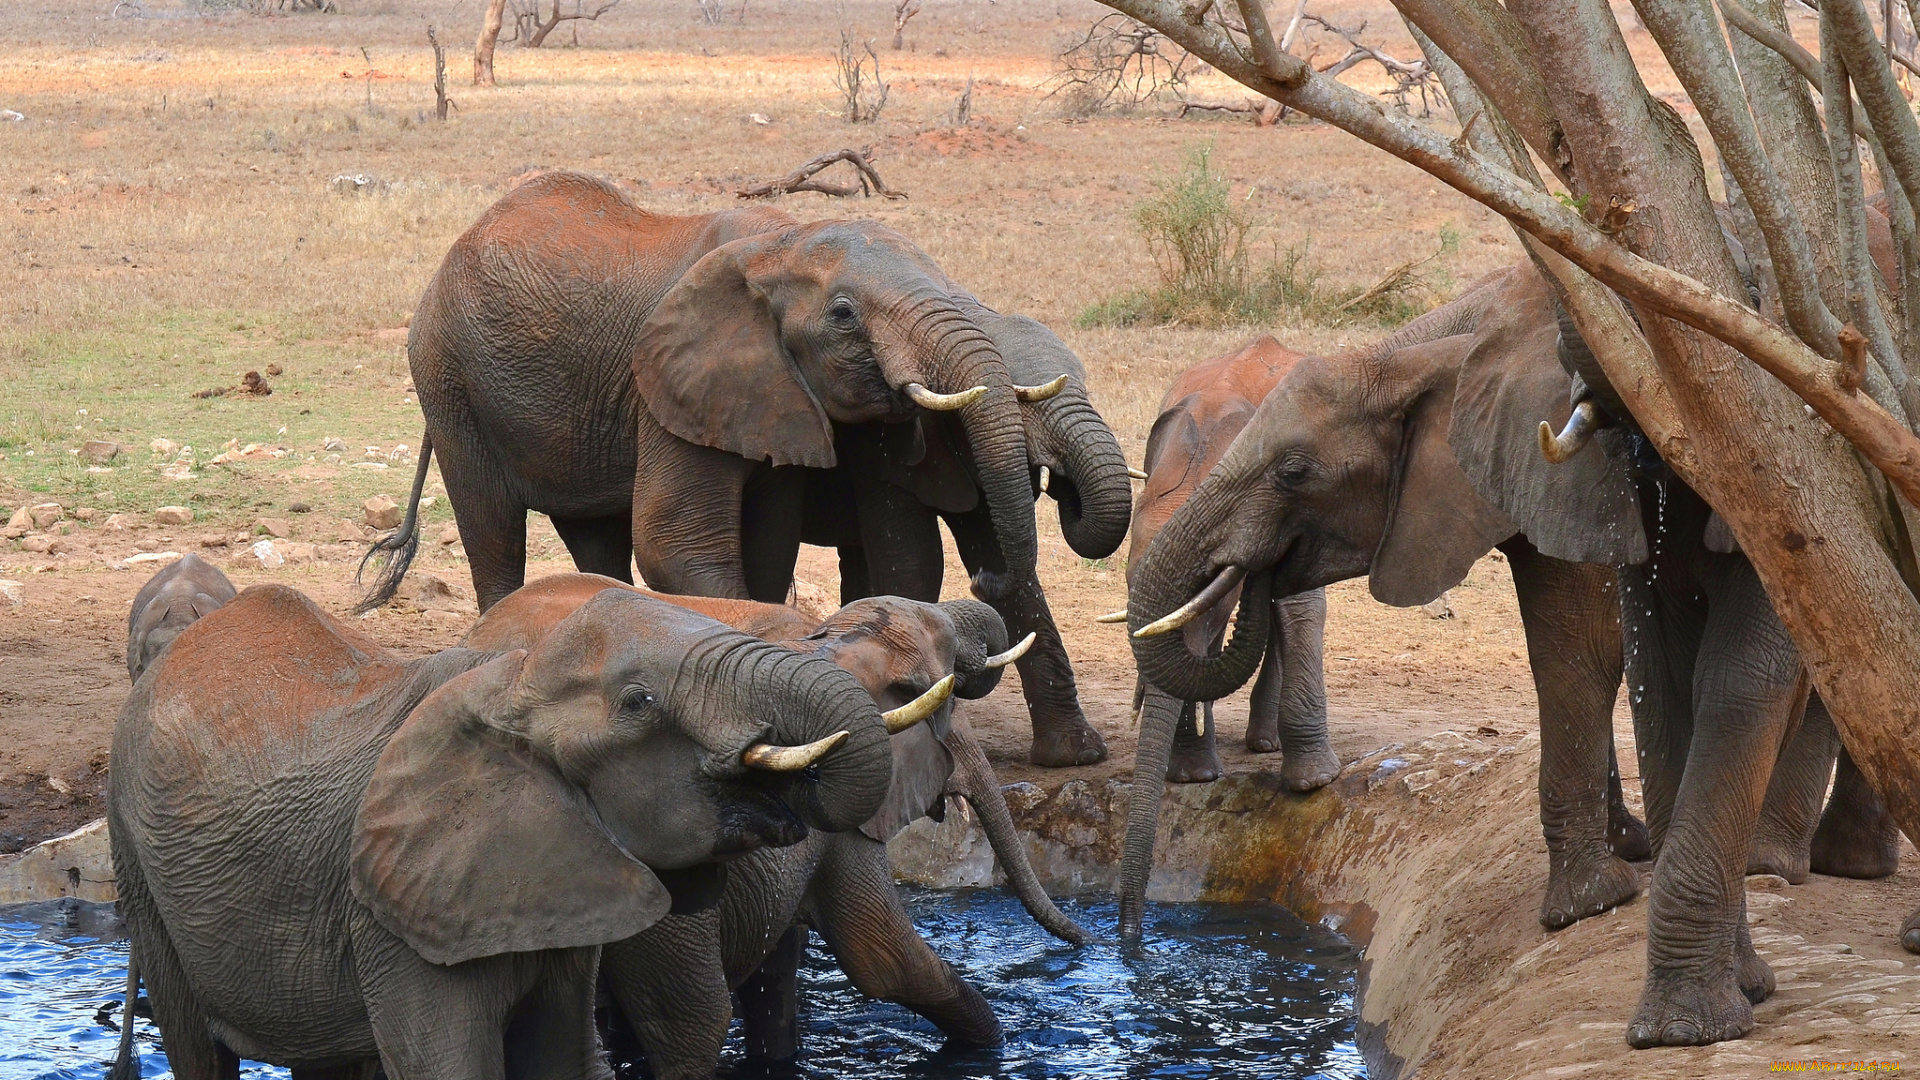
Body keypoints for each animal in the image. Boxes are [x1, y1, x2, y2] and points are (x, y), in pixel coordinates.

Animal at [112, 580, 898, 1076]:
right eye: (638, 702)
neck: (515, 682)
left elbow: (563, 1060)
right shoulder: (396, 917)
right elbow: (446, 1066)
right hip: (140, 867)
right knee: (197, 1048)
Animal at [456, 568, 1090, 1068]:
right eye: (950, 703)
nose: (1084, 940)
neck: (830, 644)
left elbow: (780, 967)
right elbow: (885, 959)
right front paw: (994, 1045)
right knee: (689, 1022)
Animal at [810, 294, 1136, 764]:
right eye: (1022, 406)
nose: (981, 584)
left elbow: (998, 556)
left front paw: (1076, 755)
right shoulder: (888, 453)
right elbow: (917, 562)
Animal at [1121, 259, 1896, 1045]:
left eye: (1293, 473)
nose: (1129, 947)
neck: (1404, 358)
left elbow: (1585, 644)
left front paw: (1591, 903)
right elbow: (1580, 651)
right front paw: (1607, 879)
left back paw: (1797, 864)